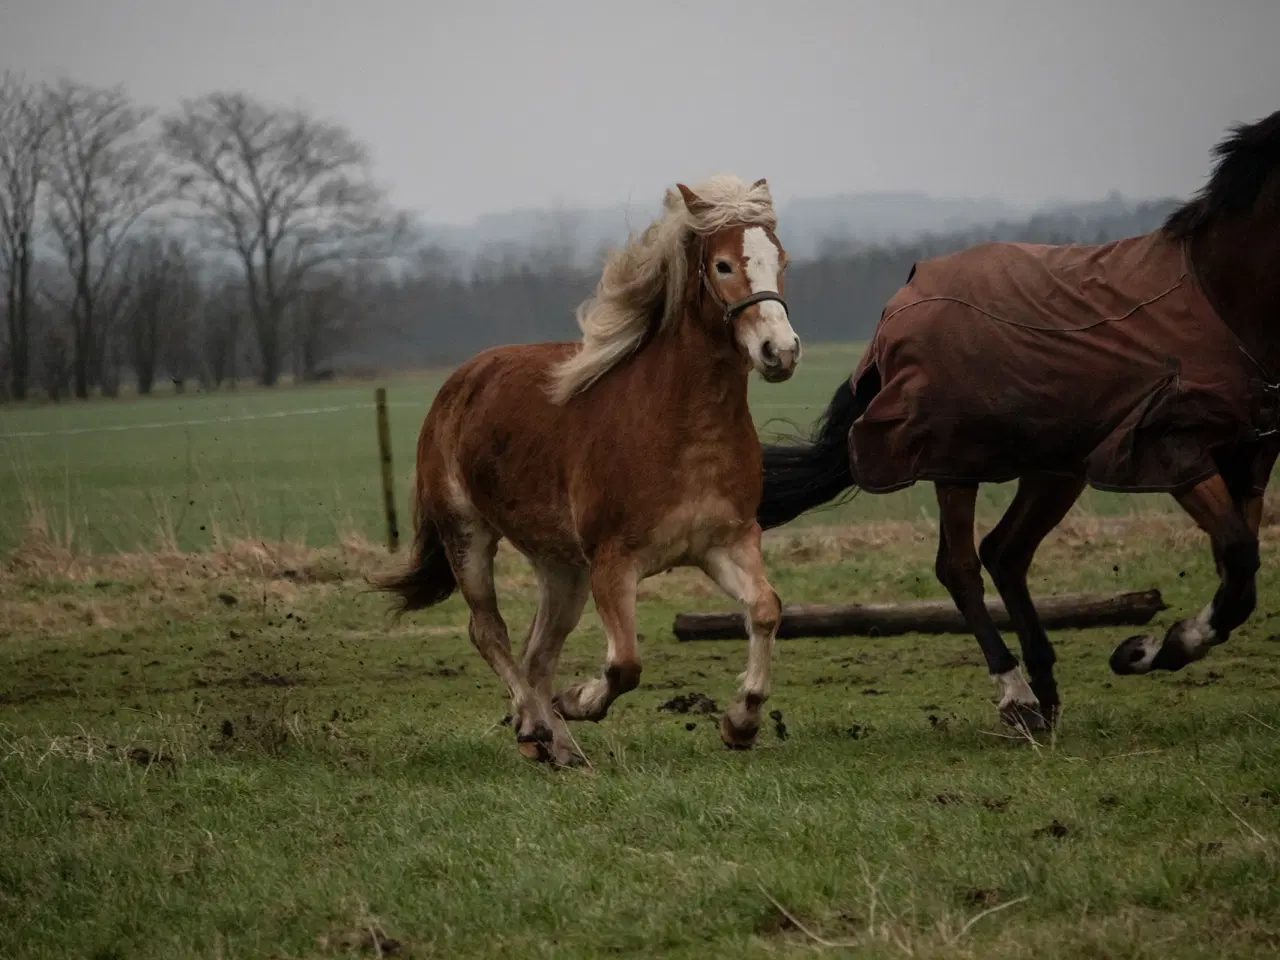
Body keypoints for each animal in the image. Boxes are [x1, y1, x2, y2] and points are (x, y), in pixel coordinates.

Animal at [378, 176, 798, 773]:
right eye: (722, 265)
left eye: (780, 260)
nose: (780, 352)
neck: (682, 427)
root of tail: (457, 384)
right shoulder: (613, 562)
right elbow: (625, 664)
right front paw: (580, 700)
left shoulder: (727, 544)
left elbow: (765, 609)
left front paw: (741, 722)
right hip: (468, 536)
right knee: (490, 632)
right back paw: (537, 725)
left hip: (561, 567)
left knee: (536, 653)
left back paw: (556, 746)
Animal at [752, 110, 1280, 727]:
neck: (1219, 297)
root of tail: (895, 309)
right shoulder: (1169, 447)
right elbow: (1239, 559)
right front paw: (1147, 650)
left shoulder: (1250, 452)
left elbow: (1238, 570)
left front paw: (1150, 648)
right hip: (953, 459)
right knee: (961, 566)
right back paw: (1017, 692)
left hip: (1053, 465)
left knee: (1005, 552)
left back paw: (1045, 686)